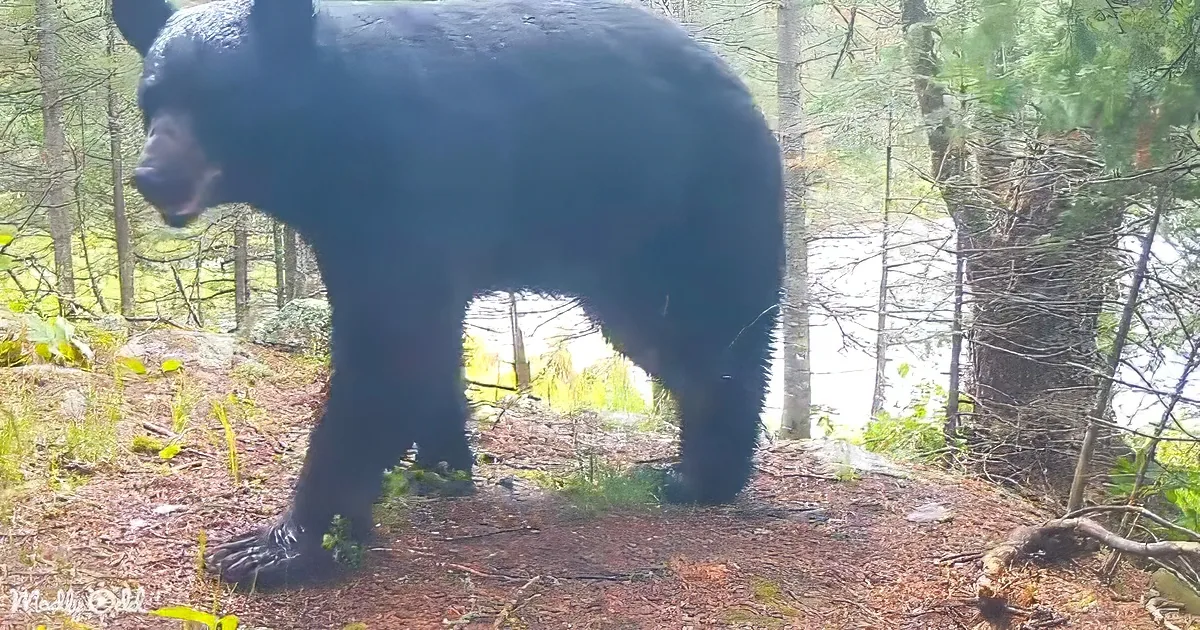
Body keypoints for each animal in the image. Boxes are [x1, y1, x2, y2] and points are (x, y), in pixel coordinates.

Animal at [112, 0, 783, 589]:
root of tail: (746, 94)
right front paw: (440, 470)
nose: (152, 176)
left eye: (219, 98)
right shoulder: (350, 225)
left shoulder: (415, 179)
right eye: (151, 99)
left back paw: (698, 478)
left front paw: (279, 547)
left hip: (687, 211)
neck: (335, 141)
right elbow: (424, 343)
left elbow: (389, 348)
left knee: (707, 337)